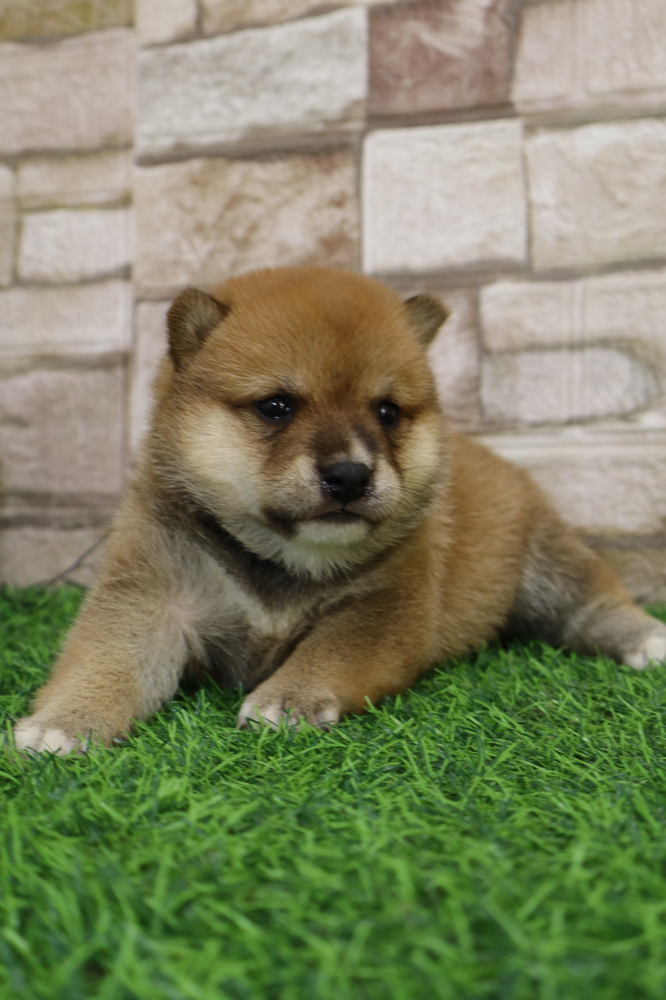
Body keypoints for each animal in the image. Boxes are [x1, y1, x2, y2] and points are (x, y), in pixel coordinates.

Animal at [14, 266, 666, 754]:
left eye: (387, 412)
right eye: (276, 406)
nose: (351, 474)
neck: (281, 560)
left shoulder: (383, 609)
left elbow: (328, 654)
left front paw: (286, 701)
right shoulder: (151, 596)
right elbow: (108, 660)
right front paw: (64, 722)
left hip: (545, 560)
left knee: (591, 603)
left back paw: (647, 639)